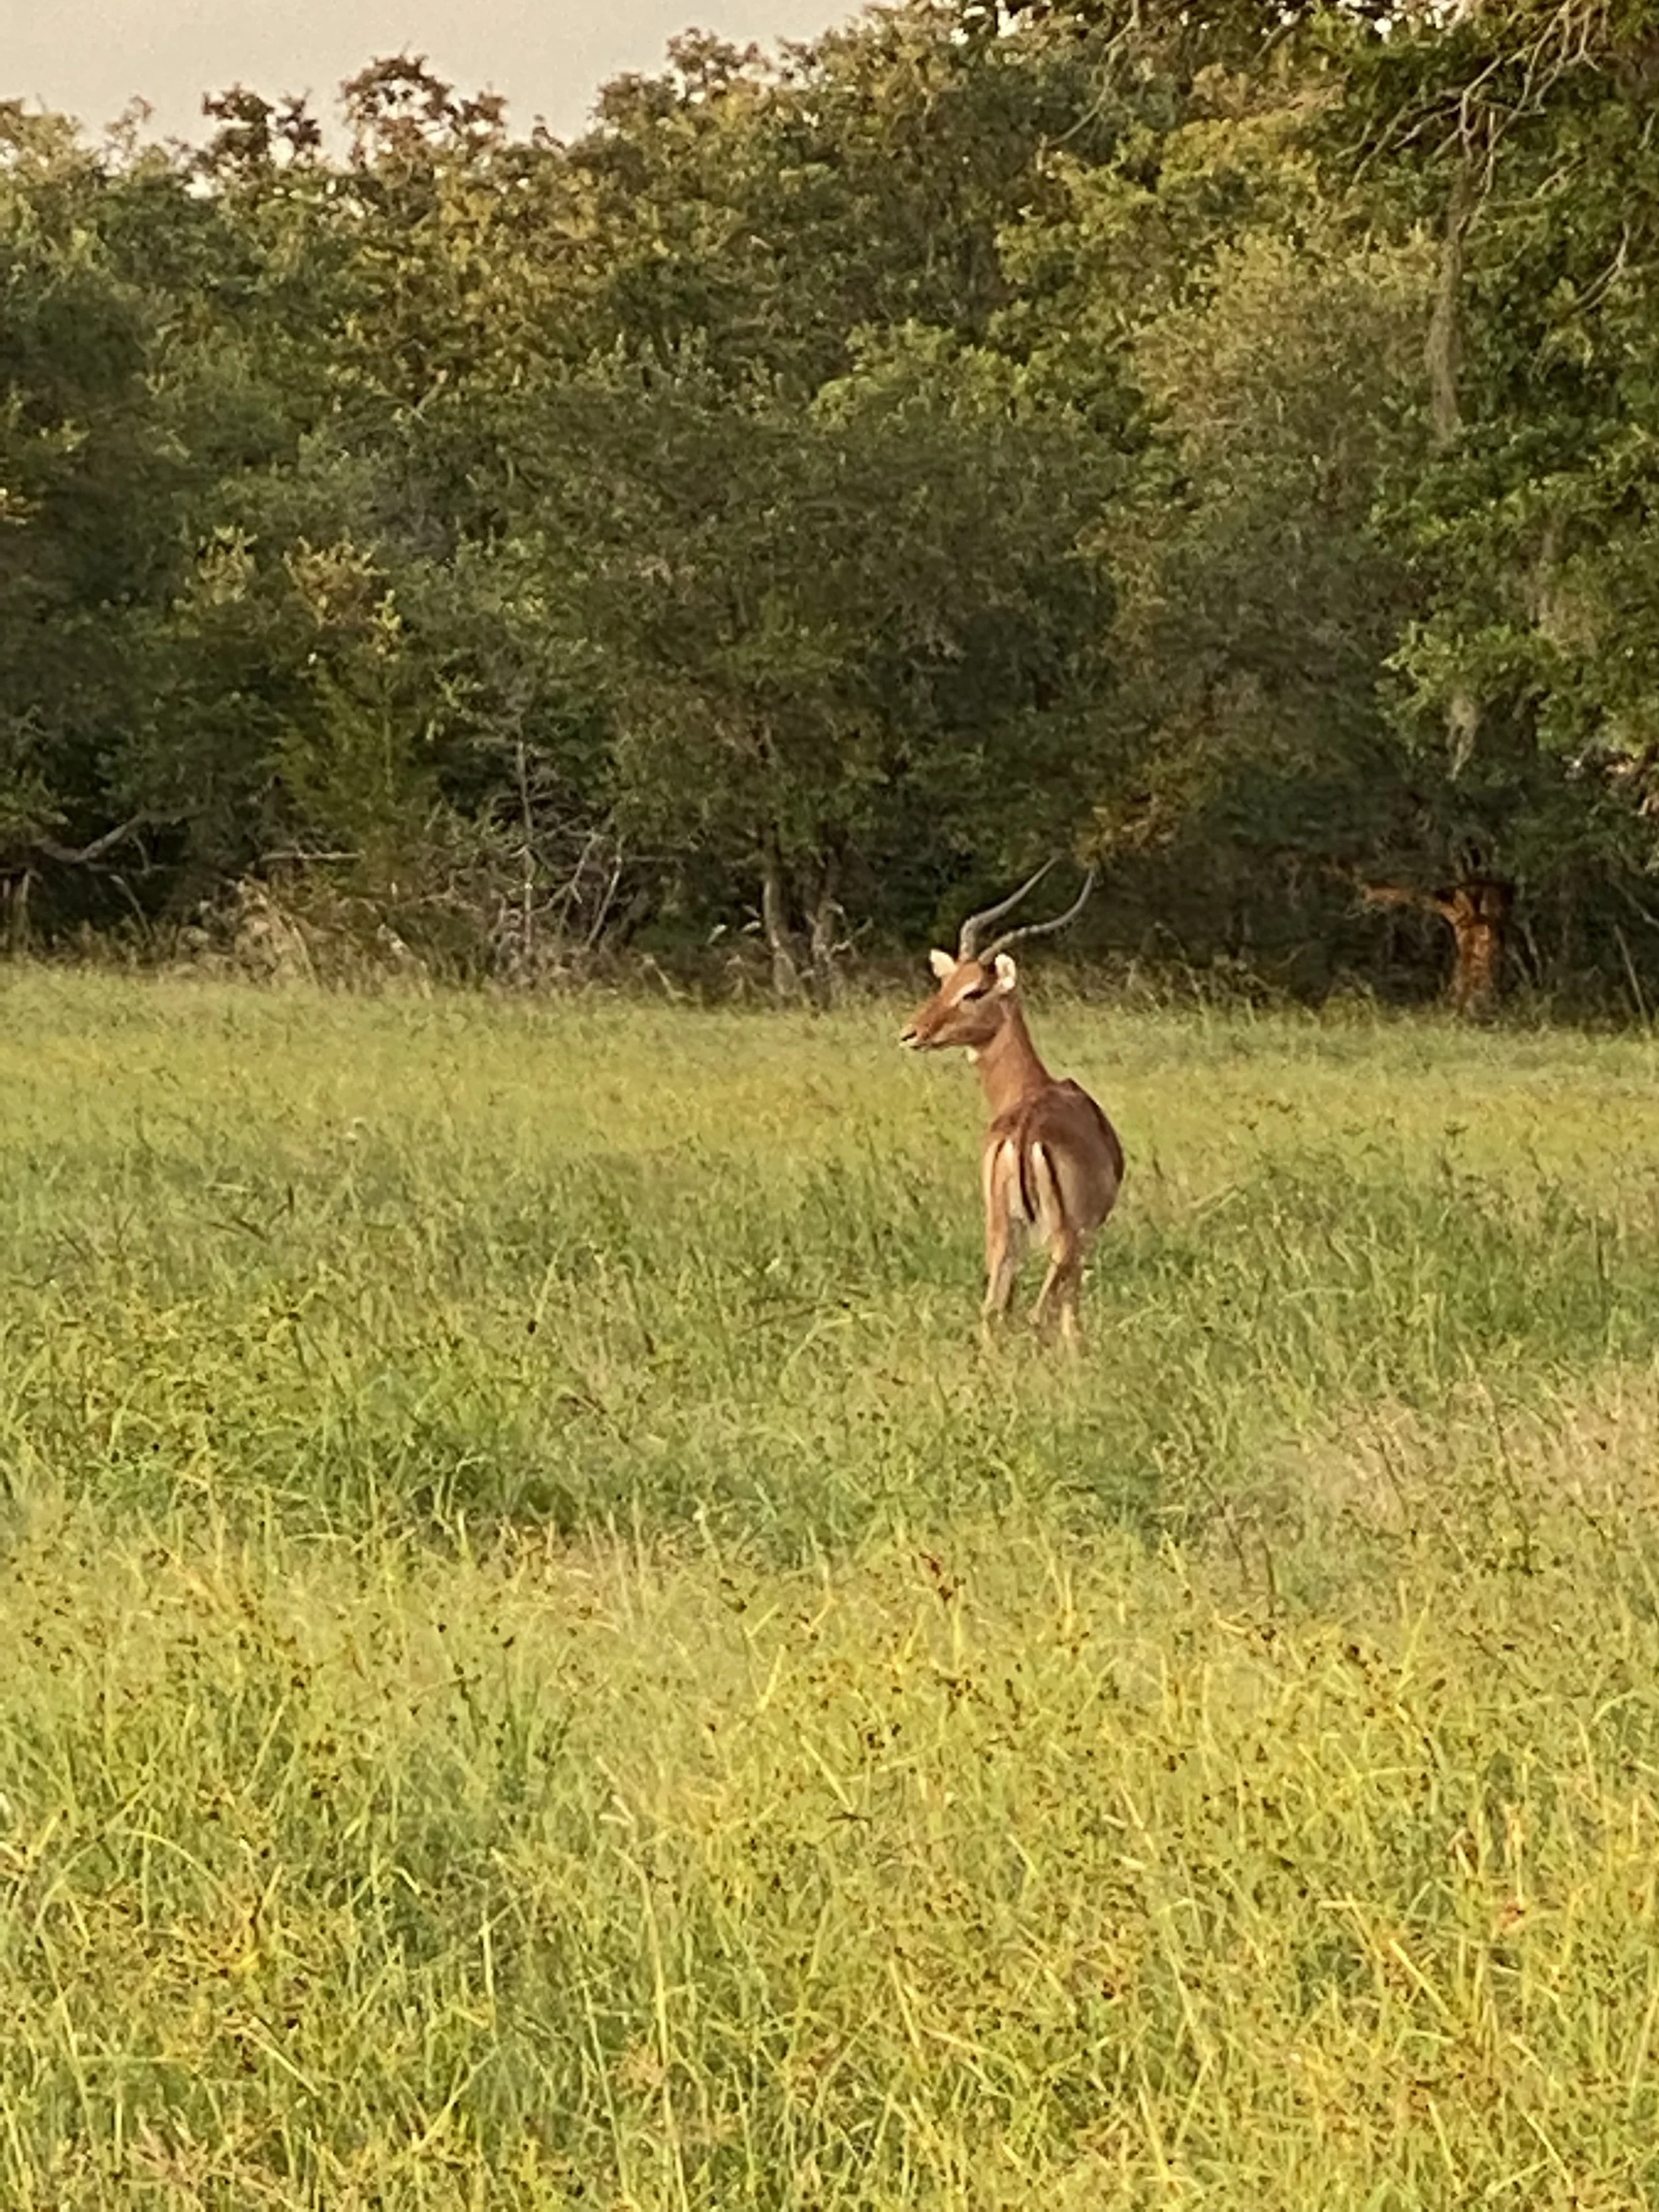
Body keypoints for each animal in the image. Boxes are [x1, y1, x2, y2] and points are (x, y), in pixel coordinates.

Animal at [900, 863, 1123, 1347]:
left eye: (971, 990)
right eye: (946, 983)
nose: (911, 1033)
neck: (1031, 1088)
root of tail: (1025, 1131)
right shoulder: (1087, 1230)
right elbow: (1071, 1314)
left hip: (1002, 1230)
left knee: (991, 1311)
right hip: (1062, 1236)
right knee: (1042, 1310)